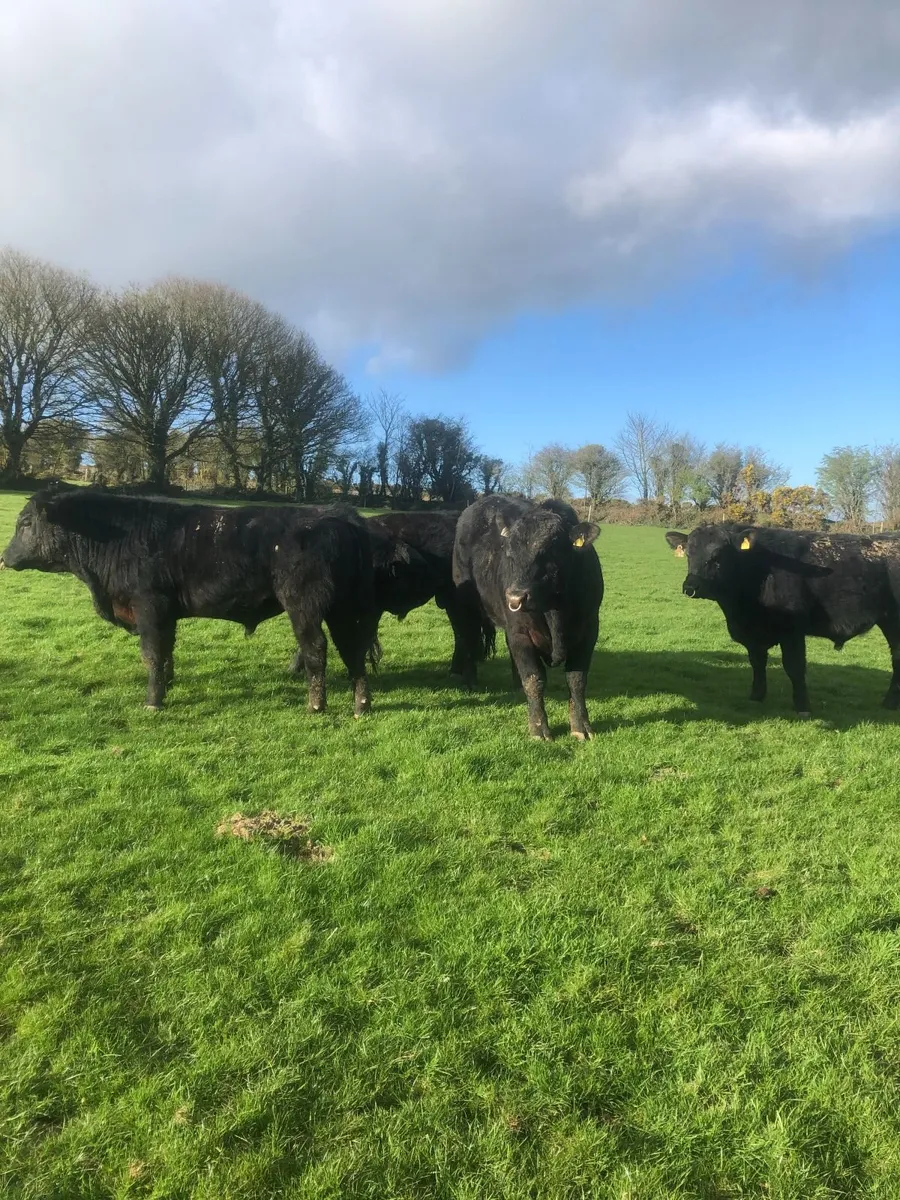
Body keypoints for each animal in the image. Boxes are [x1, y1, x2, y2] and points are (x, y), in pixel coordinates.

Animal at [0, 489, 380, 715]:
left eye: (26, 522)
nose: (4, 557)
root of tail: (338, 515)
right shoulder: (165, 613)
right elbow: (166, 651)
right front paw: (166, 686)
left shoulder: (149, 605)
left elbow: (152, 653)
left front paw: (153, 702)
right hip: (341, 607)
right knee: (352, 648)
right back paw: (361, 704)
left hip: (304, 604)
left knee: (316, 648)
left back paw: (316, 705)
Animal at [452, 495, 602, 739]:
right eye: (509, 555)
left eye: (550, 551)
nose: (515, 597)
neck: (554, 609)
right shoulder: (521, 633)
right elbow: (534, 679)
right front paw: (539, 728)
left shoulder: (589, 630)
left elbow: (577, 679)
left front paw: (581, 726)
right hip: (466, 607)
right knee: (468, 638)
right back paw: (470, 681)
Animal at [665, 524, 900, 714]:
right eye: (688, 553)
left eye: (719, 556)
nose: (691, 586)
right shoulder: (753, 635)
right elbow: (757, 663)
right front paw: (756, 697)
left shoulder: (792, 631)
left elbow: (794, 667)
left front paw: (803, 707)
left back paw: (889, 703)